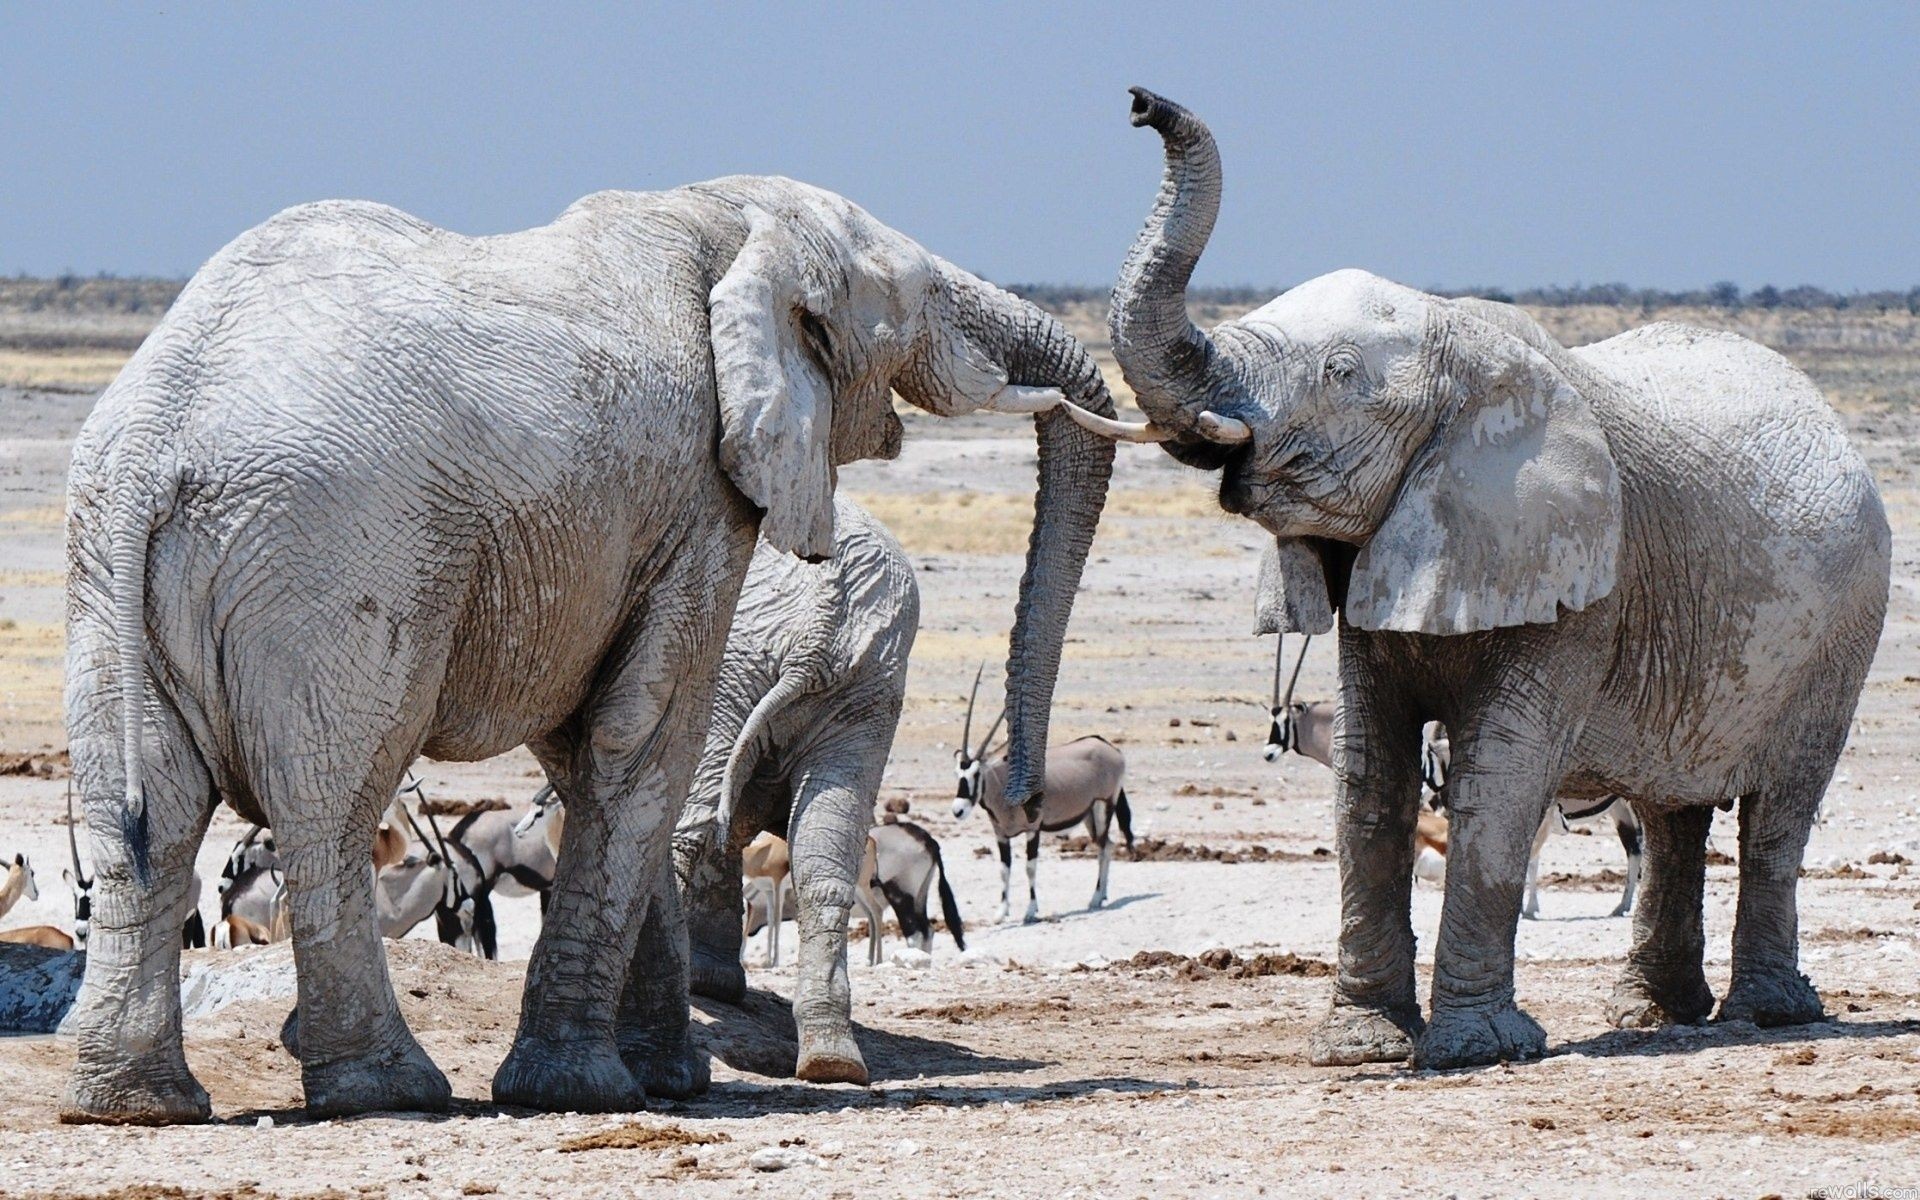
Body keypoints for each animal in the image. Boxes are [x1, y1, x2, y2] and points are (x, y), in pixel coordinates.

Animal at [672, 491, 917, 1082]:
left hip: (731, 656)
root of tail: (821, 628)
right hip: (866, 690)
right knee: (823, 854)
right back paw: (831, 1060)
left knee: (688, 823)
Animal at [952, 668, 1128, 921]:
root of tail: (1111, 748)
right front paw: (1001, 912)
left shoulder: (1032, 829)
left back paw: (1095, 898)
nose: (958, 810)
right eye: (958, 773)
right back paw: (1102, 895)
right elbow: (1004, 870)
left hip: (1104, 806)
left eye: (977, 773)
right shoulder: (1001, 834)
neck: (1003, 786)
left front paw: (1030, 910)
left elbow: (1030, 867)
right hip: (1088, 815)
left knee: (1104, 848)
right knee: (1109, 845)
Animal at [1113, 91, 1889, 1067]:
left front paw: (1475, 1049)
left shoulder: (1579, 578)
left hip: (1844, 631)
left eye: (1339, 375)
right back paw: (1653, 1015)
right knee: (1672, 813)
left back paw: (1768, 1015)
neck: (1463, 342)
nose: (1141, 104)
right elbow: (1368, 774)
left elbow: (1504, 773)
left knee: (1778, 809)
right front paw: (1361, 1050)